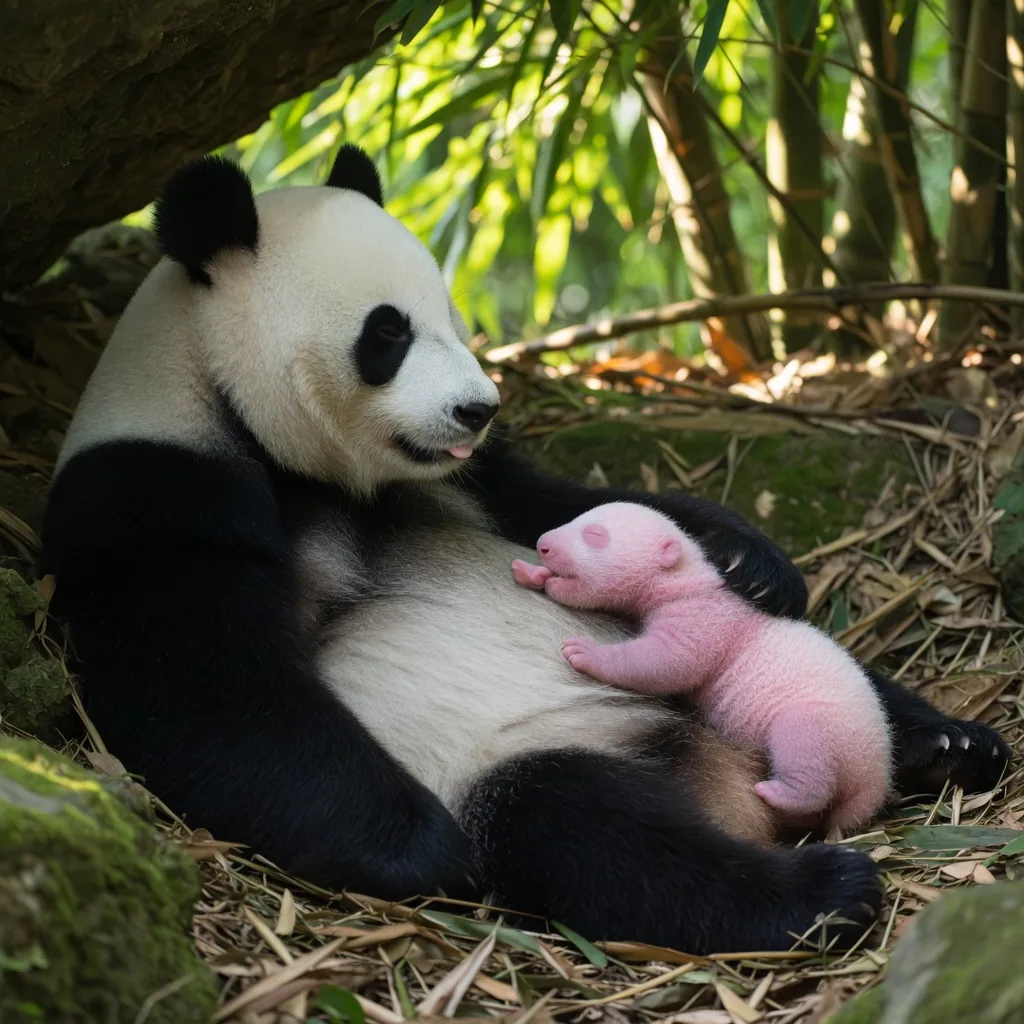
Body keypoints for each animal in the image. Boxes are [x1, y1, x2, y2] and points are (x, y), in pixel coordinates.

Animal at [42, 144, 1012, 955]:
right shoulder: (150, 486)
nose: (478, 407)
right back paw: (819, 892)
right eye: (387, 333)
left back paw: (948, 744)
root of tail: (735, 779)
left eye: (452, 316)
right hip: (531, 751)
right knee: (588, 832)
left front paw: (745, 558)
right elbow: (209, 693)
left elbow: (561, 505)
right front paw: (423, 849)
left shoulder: (469, 480)